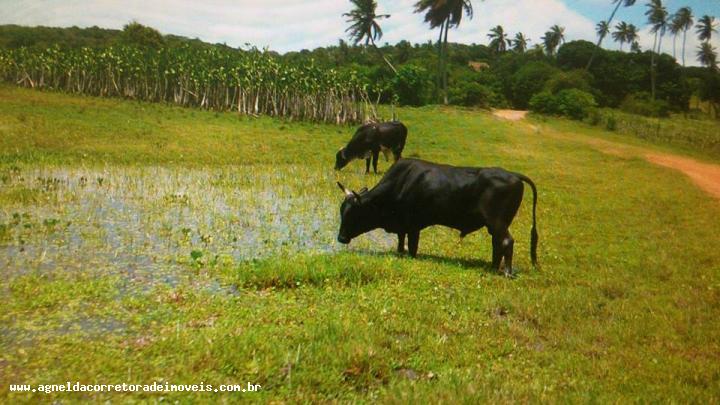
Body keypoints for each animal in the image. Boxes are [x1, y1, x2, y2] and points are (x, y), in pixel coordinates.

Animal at [334, 158, 536, 274]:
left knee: (507, 242)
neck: (400, 183)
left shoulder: (414, 225)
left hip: (497, 222)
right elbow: (400, 241)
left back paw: (507, 272)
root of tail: (512, 174)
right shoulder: (403, 225)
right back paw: (492, 268)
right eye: (342, 211)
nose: (341, 238)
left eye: (354, 213)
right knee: (497, 243)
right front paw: (399, 253)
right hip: (495, 225)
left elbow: (412, 246)